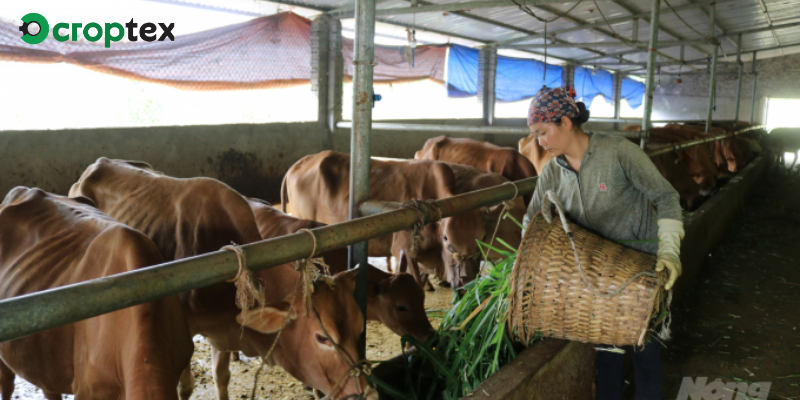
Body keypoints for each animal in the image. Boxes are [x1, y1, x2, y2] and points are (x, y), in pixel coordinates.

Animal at [70, 159, 376, 400]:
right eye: (323, 338)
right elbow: (186, 386)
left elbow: (222, 377)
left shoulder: (223, 328)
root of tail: (96, 165)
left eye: (360, 328)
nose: (366, 394)